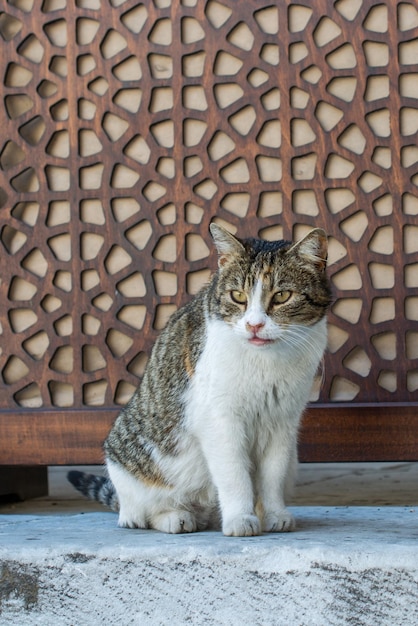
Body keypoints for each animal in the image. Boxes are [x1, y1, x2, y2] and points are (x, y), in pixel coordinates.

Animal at [68, 224, 330, 536]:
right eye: (238, 296)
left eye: (281, 296)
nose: (254, 325)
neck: (266, 363)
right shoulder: (219, 419)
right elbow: (234, 474)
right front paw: (240, 518)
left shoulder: (282, 421)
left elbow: (272, 476)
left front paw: (274, 513)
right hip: (129, 459)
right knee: (138, 512)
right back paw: (174, 517)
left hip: (293, 458)